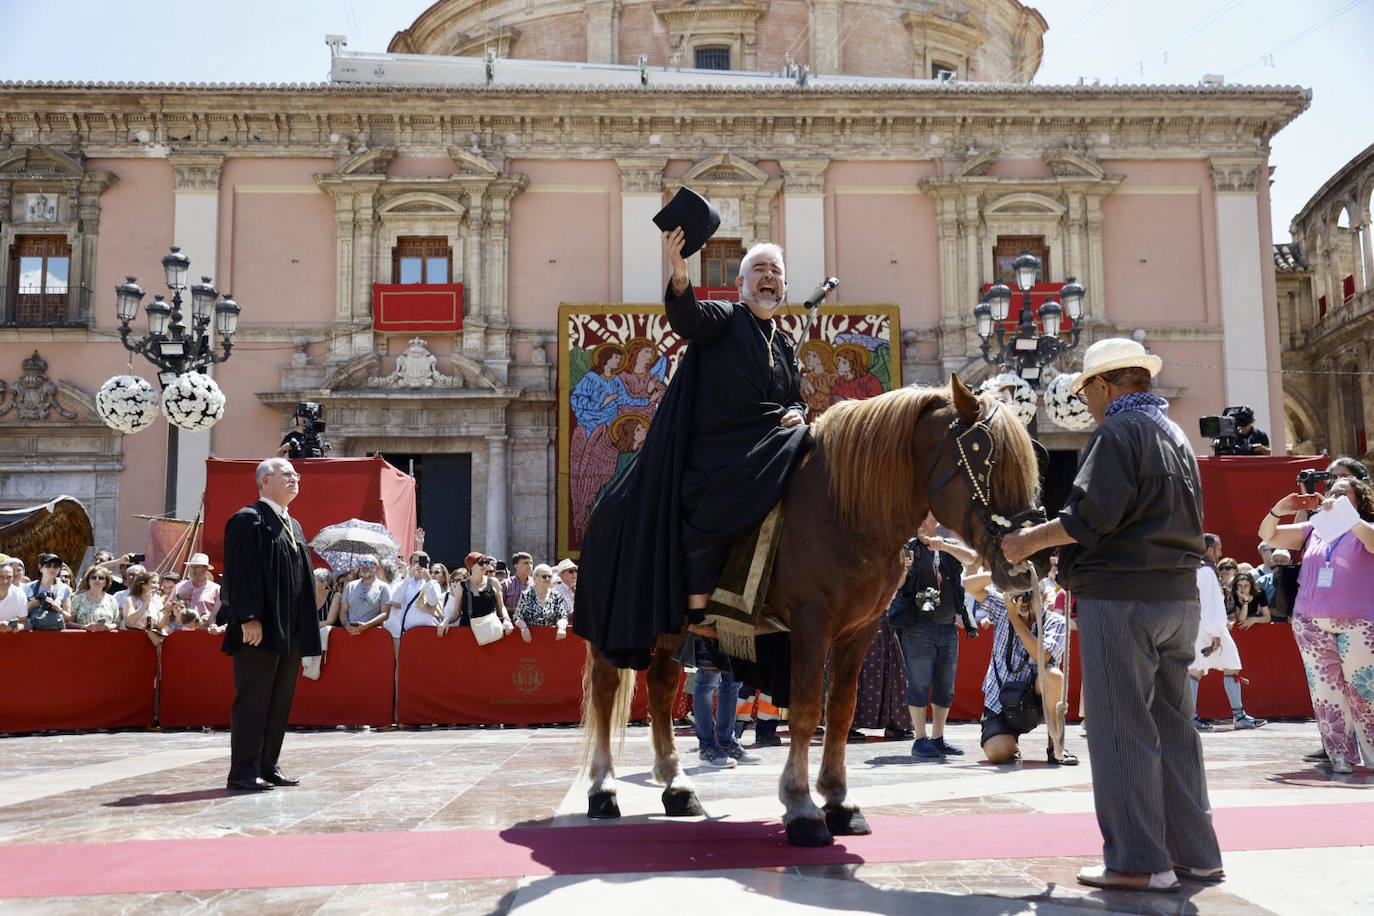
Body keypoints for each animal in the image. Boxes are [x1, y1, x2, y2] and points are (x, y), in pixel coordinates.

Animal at [579, 373, 1038, 845]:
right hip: (615, 624)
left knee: (662, 685)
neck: (846, 512)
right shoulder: (811, 625)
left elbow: (840, 711)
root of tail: (608, 500)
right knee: (606, 689)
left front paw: (839, 801)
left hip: (673, 626)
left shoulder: (860, 630)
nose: (1021, 565)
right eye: (983, 454)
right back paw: (603, 790)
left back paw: (677, 787)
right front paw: (801, 808)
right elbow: (803, 712)